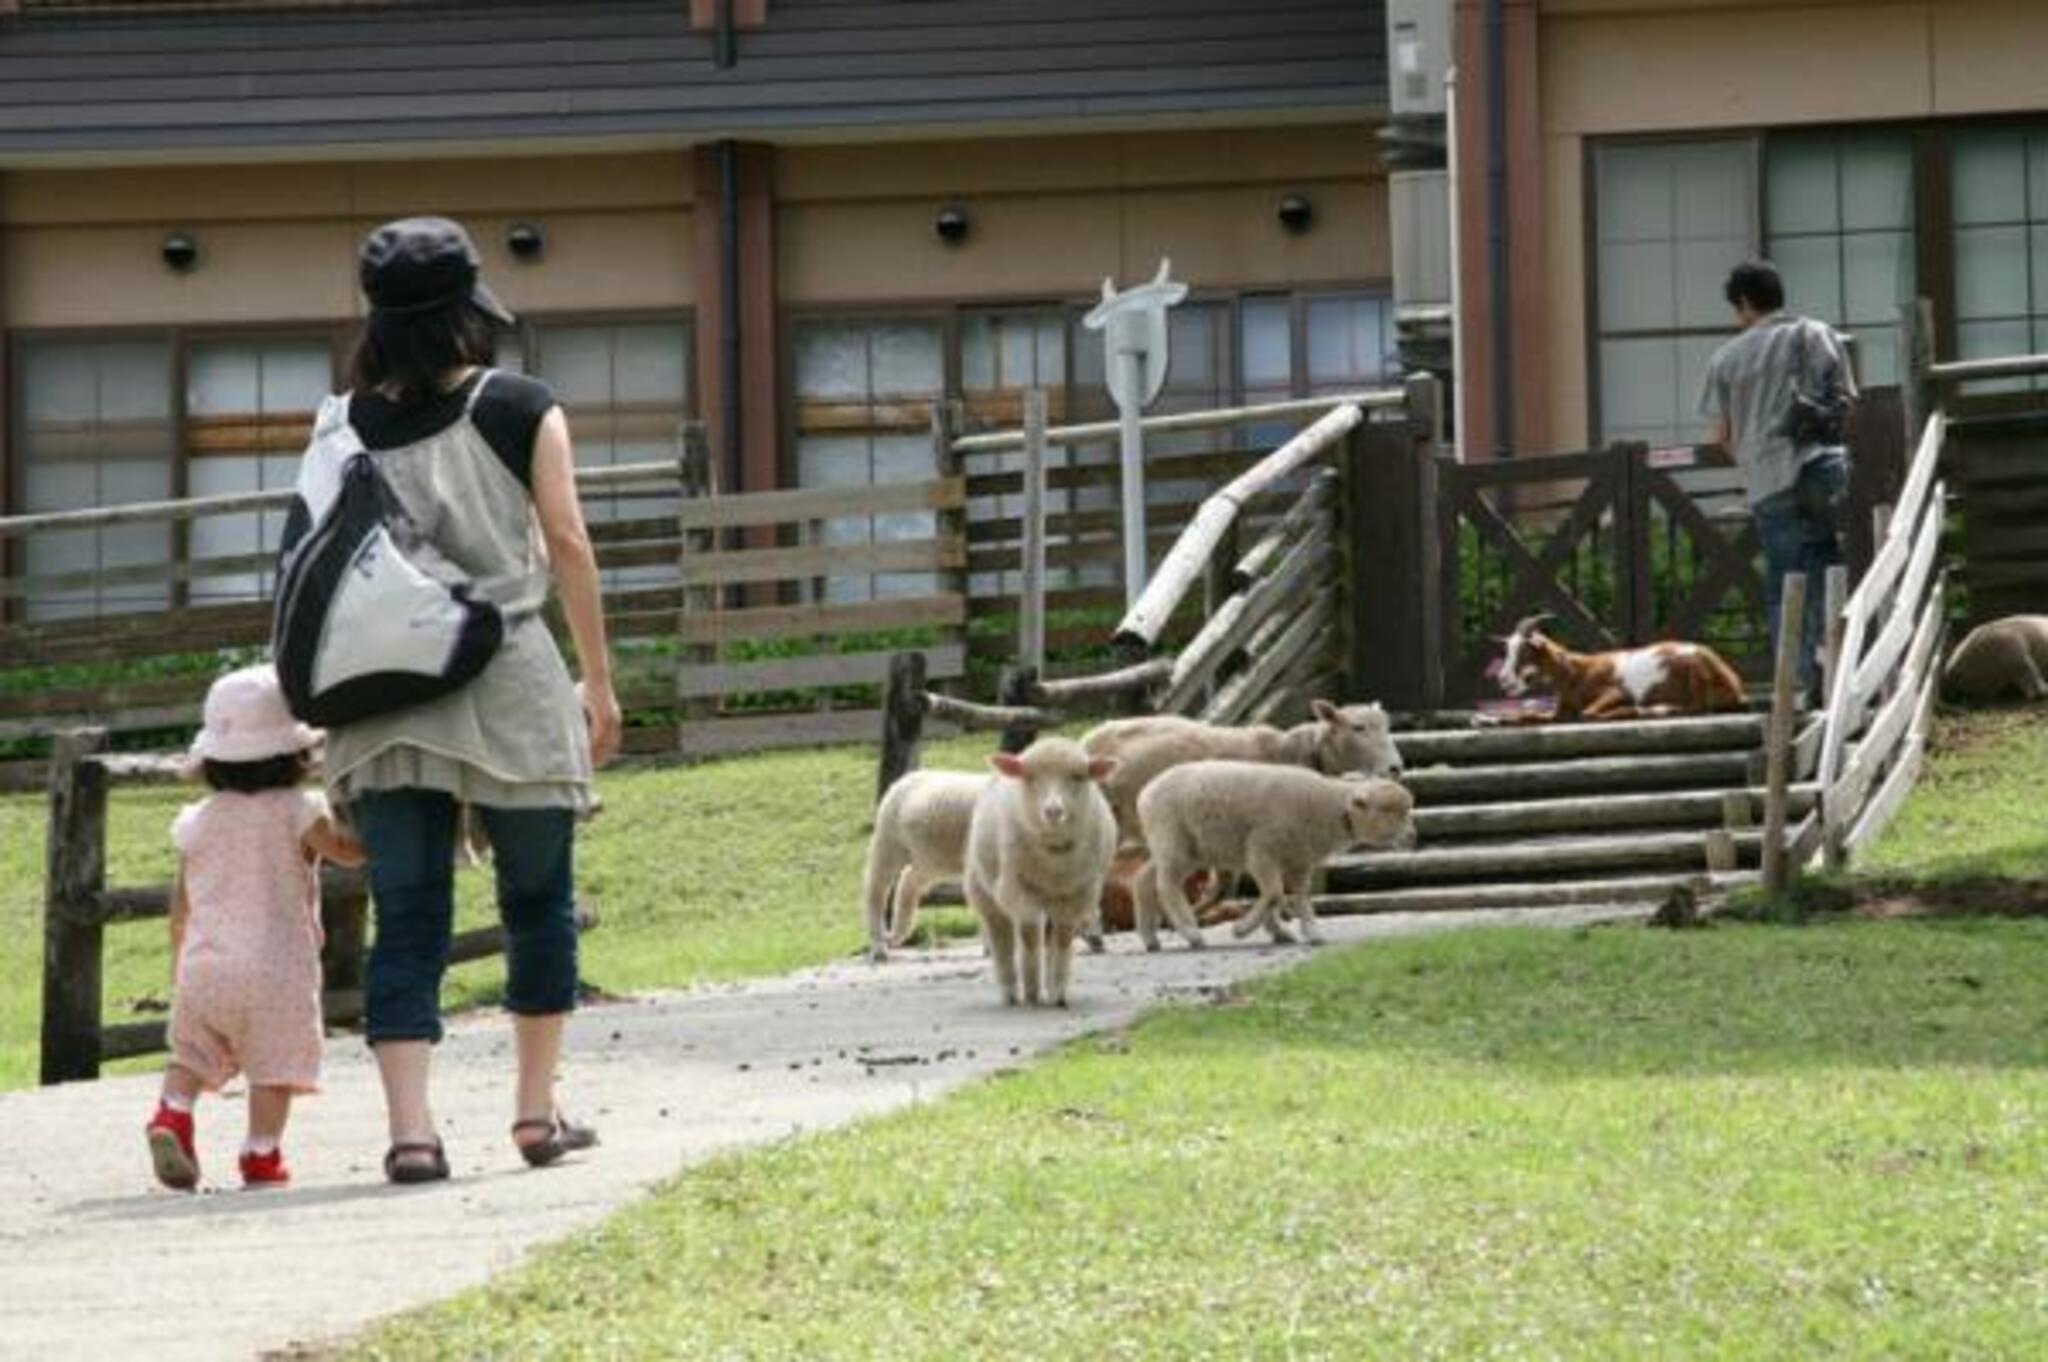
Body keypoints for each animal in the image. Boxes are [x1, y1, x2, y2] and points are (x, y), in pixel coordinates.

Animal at [864, 770, 991, 962]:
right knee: (877, 887)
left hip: (928, 858)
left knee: (908, 880)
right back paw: (880, 949)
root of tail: (903, 779)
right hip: (889, 838)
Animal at [962, 737, 1122, 1003]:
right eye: (1030, 777)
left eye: (1078, 777)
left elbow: (1064, 938)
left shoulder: (1077, 894)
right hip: (984, 891)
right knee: (1002, 937)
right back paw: (1011, 990)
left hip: (1052, 899)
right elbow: (1028, 936)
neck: (1053, 862)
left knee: (1048, 936)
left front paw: (1058, 991)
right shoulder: (1017, 889)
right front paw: (1031, 989)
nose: (1053, 811)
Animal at [1130, 757, 1417, 950]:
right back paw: (1191, 932)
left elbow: (1297, 897)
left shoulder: (1299, 861)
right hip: (1172, 838)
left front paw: (1308, 933)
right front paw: (1242, 930)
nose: (1413, 836)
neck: (1328, 808)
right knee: (1165, 885)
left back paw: (1150, 938)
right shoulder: (1262, 849)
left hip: (1185, 847)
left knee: (1144, 880)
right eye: (1388, 809)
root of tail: (1145, 792)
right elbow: (1274, 893)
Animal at [1490, 614, 1744, 720]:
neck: (1578, 672)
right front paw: (1489, 719)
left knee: (1698, 707)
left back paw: (1649, 709)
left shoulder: (1615, 692)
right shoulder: (1559, 712)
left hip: (1695, 675)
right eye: (1508, 650)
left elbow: (1589, 713)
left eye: (1524, 651)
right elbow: (1527, 715)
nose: (1503, 680)